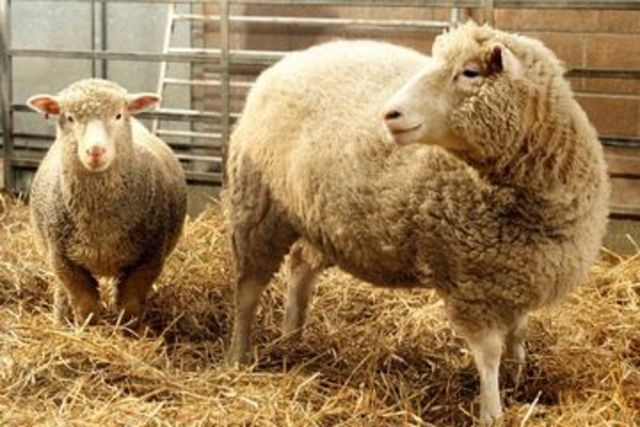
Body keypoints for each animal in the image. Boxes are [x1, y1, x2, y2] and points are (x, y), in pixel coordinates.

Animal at [27, 79, 187, 327]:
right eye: (70, 117)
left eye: (118, 115)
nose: (95, 151)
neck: (100, 225)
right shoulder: (63, 260)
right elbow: (85, 306)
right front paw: (87, 330)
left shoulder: (149, 258)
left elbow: (130, 305)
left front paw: (129, 331)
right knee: (61, 291)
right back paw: (60, 322)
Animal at [225, 22, 609, 423]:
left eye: (470, 72)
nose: (390, 114)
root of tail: (283, 64)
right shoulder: (471, 283)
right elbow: (488, 354)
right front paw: (492, 411)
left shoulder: (517, 274)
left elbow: (519, 333)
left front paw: (518, 379)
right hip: (258, 209)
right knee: (248, 290)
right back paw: (238, 356)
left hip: (320, 219)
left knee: (301, 266)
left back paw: (292, 337)